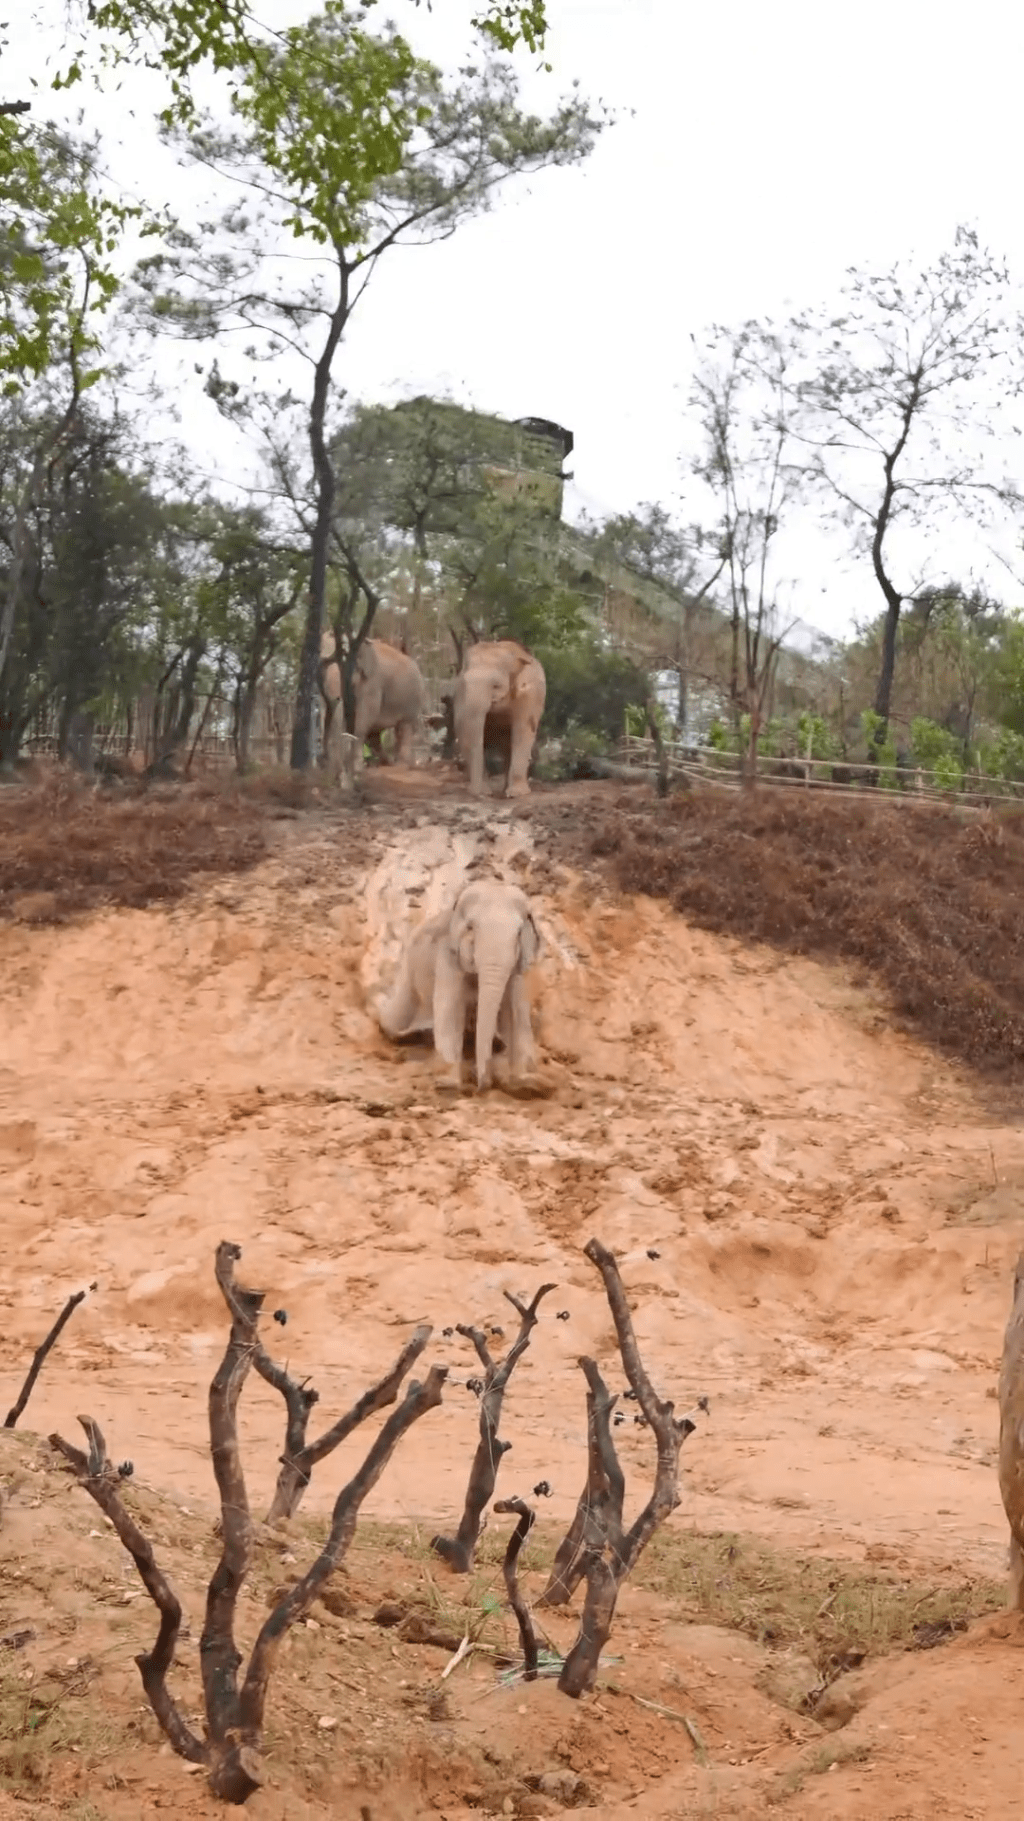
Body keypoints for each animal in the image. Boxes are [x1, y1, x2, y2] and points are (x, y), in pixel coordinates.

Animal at [318, 633, 422, 768]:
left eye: (348, 679)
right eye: (321, 676)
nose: (323, 760)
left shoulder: (372, 683)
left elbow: (363, 719)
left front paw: (356, 766)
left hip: (412, 700)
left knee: (404, 727)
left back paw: (400, 764)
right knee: (375, 734)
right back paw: (386, 762)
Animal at [378, 874, 542, 1085]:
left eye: (519, 933)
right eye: (471, 927)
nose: (482, 1084)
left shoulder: (518, 968)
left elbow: (518, 1011)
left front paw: (528, 1083)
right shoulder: (447, 955)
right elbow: (450, 1006)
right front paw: (447, 1084)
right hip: (407, 975)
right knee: (393, 1019)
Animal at [448, 648, 542, 804]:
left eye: (496, 686)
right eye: (464, 683)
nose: (478, 795)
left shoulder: (528, 694)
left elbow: (522, 731)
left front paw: (516, 794)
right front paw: (486, 792)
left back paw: (507, 791)